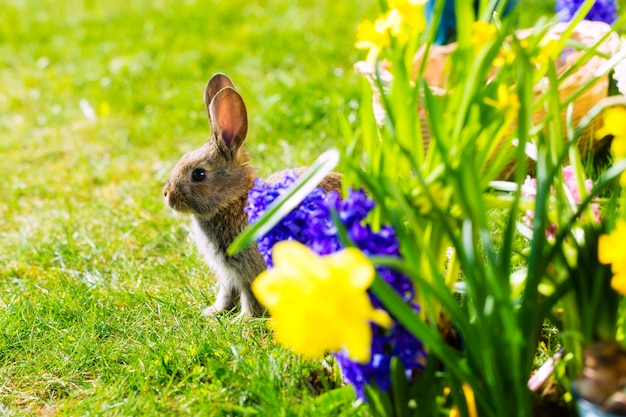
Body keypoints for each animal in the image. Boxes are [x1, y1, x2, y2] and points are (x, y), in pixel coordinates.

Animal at [163, 73, 342, 316]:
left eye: (198, 174)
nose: (167, 194)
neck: (233, 202)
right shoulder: (228, 273)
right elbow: (226, 293)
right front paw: (212, 312)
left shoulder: (251, 270)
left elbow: (250, 298)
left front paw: (241, 320)